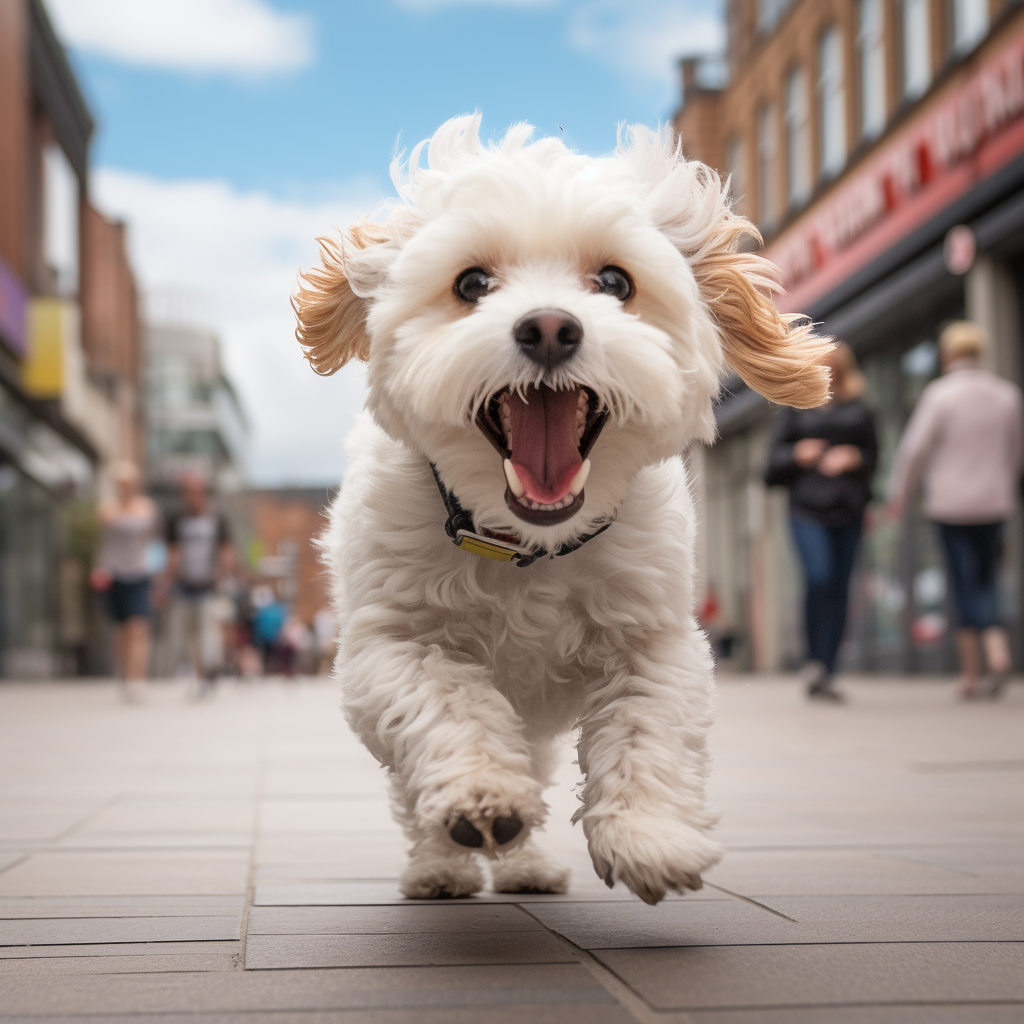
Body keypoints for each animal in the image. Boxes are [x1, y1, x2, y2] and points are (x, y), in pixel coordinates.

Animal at [292, 117, 827, 905]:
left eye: (614, 282)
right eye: (472, 284)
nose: (548, 327)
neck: (527, 547)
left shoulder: (655, 641)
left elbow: (645, 726)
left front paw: (650, 836)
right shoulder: (393, 646)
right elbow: (451, 706)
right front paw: (481, 797)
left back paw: (525, 867)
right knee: (417, 794)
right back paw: (442, 865)